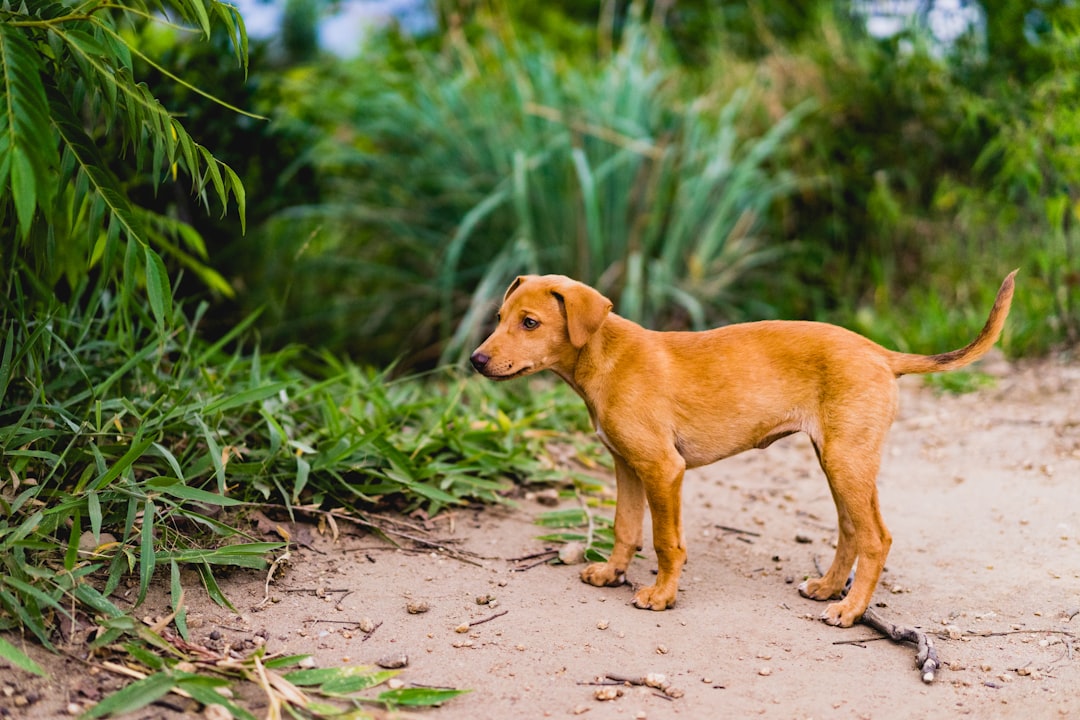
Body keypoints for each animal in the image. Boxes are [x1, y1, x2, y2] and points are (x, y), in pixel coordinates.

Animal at [468, 269, 1015, 626]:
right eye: (499, 316)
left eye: (530, 323)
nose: (475, 361)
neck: (604, 356)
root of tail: (880, 352)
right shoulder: (627, 464)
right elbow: (625, 527)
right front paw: (611, 572)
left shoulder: (663, 469)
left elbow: (665, 541)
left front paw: (662, 595)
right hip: (839, 460)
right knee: (852, 531)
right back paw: (827, 587)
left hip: (846, 461)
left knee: (876, 538)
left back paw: (850, 609)